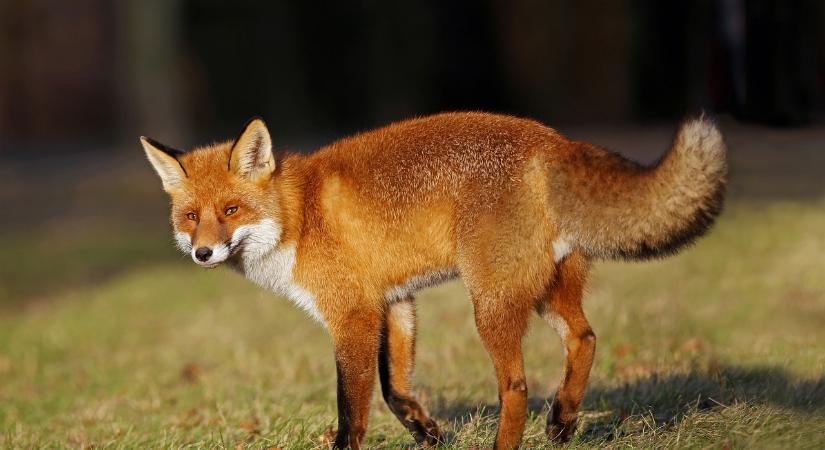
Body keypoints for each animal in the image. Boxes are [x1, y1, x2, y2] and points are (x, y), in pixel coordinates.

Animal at [143, 110, 728, 448]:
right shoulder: (395, 302)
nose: (202, 252)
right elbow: (395, 388)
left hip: (489, 303)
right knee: (584, 339)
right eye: (192, 216)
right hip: (544, 292)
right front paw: (427, 433)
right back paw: (562, 423)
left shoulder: (352, 315)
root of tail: (553, 142)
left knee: (516, 386)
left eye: (231, 210)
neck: (299, 216)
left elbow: (352, 410)